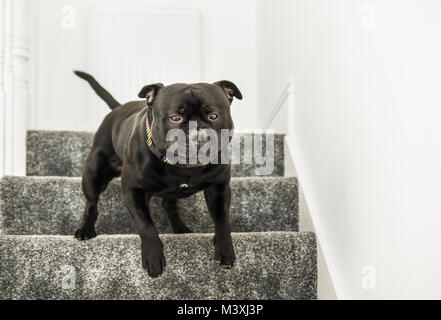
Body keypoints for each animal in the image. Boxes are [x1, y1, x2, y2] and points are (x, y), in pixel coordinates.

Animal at [74, 71, 242, 276]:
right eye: (175, 117)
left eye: (214, 115)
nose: (200, 137)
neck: (183, 167)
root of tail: (119, 108)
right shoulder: (133, 191)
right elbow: (146, 226)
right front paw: (153, 258)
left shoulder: (219, 189)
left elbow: (222, 219)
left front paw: (225, 250)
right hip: (94, 171)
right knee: (91, 203)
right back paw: (85, 229)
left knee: (168, 204)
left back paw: (180, 229)